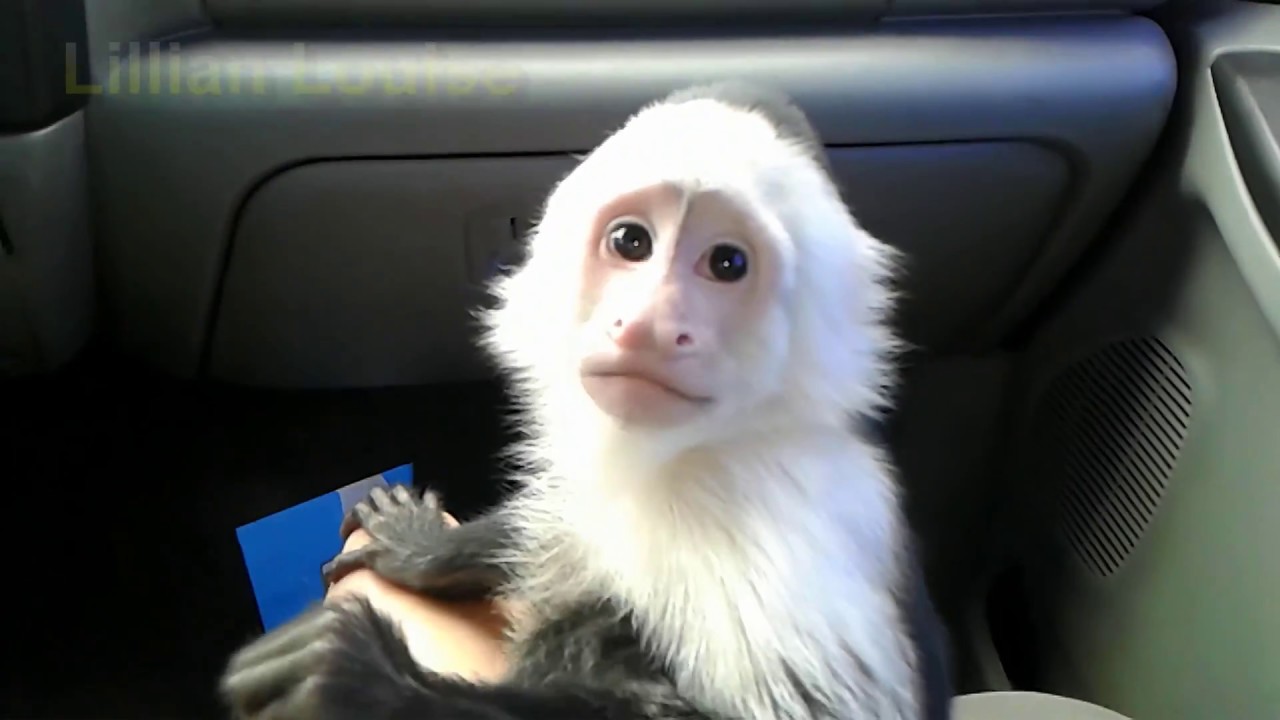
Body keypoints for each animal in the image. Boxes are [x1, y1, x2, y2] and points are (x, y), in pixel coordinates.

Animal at [218, 80, 953, 720]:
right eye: (631, 241)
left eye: (727, 263)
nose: (648, 325)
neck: (683, 457)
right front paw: (430, 550)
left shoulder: (765, 515)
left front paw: (365, 682)